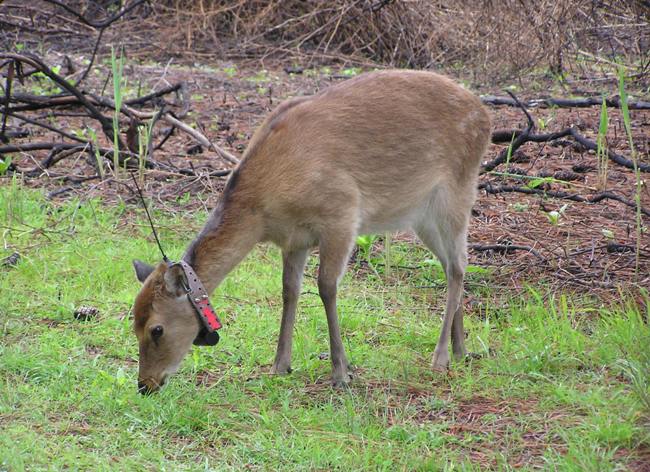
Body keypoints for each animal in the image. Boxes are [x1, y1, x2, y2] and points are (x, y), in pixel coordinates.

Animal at [132, 70, 488, 392]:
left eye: (156, 329)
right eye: (132, 323)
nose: (145, 385)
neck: (263, 207)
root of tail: (485, 114)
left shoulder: (342, 215)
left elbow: (326, 287)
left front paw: (341, 372)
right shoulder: (294, 239)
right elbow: (289, 290)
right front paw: (280, 364)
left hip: (456, 194)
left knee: (459, 265)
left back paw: (440, 357)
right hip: (422, 217)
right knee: (451, 266)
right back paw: (461, 349)